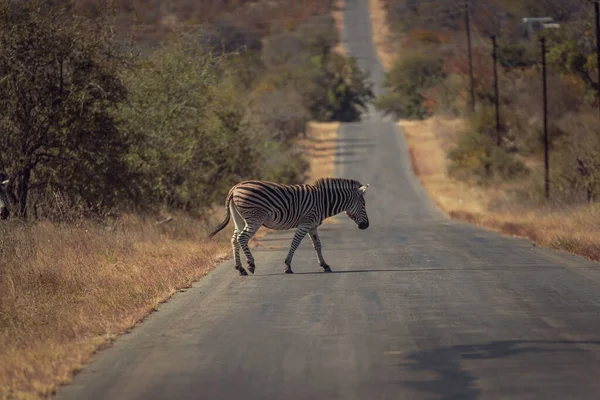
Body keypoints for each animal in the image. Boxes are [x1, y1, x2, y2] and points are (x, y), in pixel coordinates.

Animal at [209, 178, 368, 276]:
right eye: (364, 204)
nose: (366, 226)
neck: (323, 201)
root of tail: (234, 188)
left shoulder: (312, 226)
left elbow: (317, 245)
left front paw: (325, 265)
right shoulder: (305, 223)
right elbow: (295, 243)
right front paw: (288, 266)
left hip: (239, 218)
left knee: (234, 239)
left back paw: (240, 268)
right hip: (255, 219)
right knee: (242, 238)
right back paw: (251, 264)